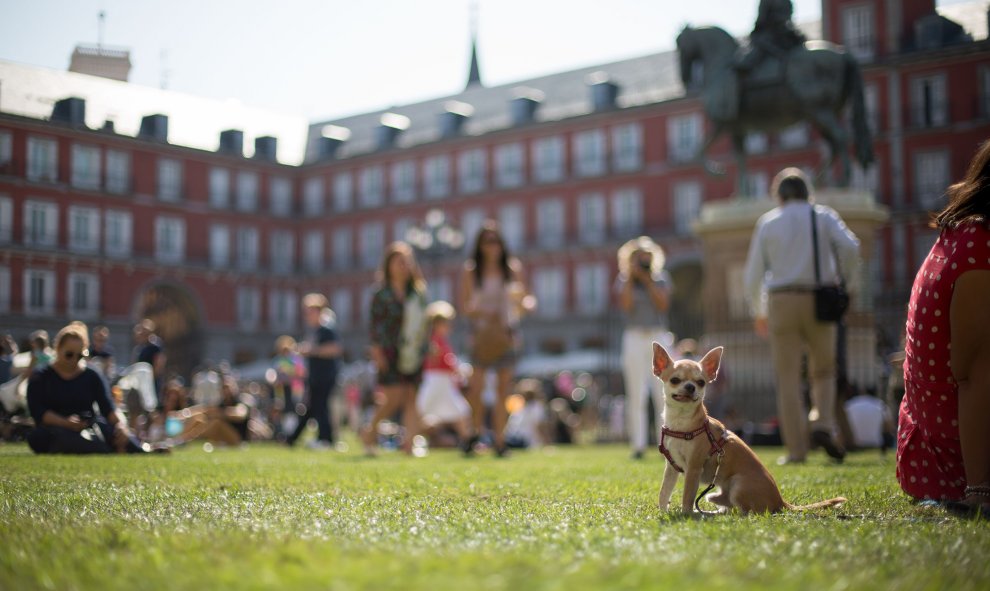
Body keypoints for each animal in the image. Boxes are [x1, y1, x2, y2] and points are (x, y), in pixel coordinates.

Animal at [656, 344, 848, 516]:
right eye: (674, 380)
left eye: (701, 382)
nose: (691, 386)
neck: (681, 423)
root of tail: (780, 500)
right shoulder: (671, 468)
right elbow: (664, 492)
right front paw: (662, 513)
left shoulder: (694, 469)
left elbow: (687, 495)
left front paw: (685, 514)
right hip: (718, 492)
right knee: (725, 504)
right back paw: (712, 512)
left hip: (738, 485)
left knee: (748, 511)